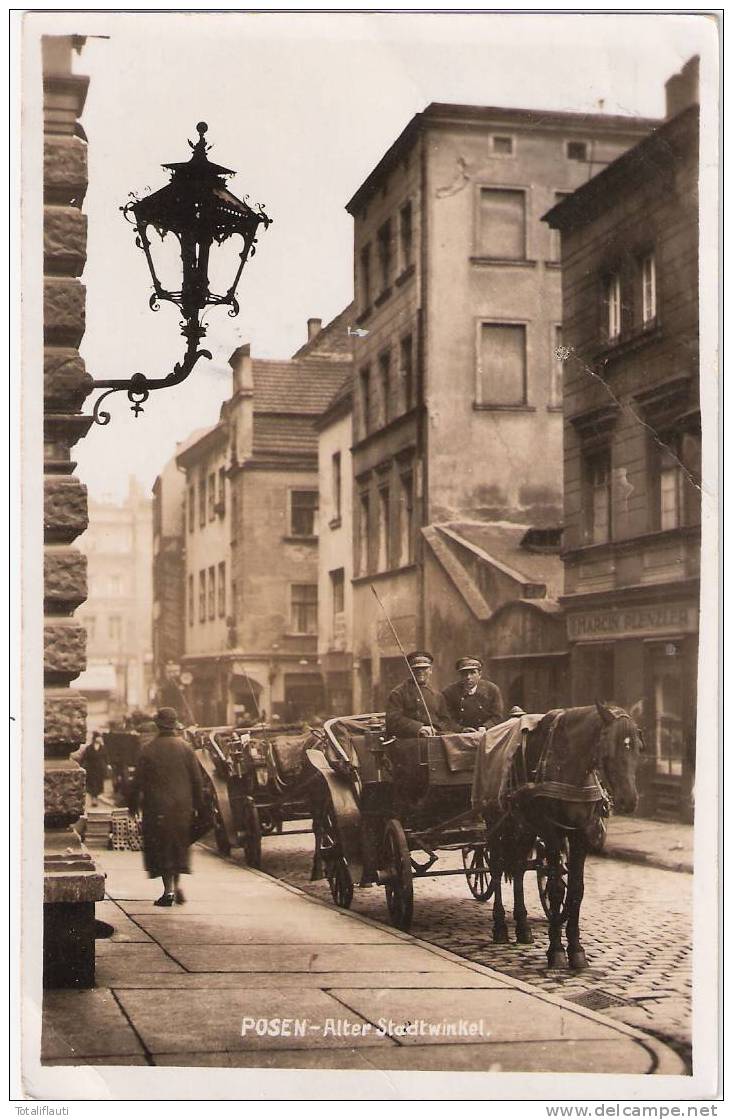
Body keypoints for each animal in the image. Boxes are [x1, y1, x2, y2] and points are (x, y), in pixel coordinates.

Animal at [486, 703, 645, 967]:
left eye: (639, 748)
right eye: (608, 748)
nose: (629, 800)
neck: (570, 766)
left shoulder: (580, 835)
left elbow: (576, 891)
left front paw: (576, 949)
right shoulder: (551, 833)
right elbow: (556, 890)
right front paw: (557, 950)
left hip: (525, 828)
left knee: (518, 868)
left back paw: (523, 926)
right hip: (497, 824)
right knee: (497, 868)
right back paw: (500, 926)